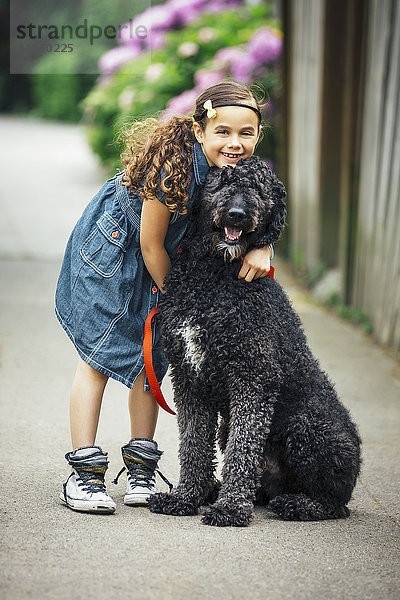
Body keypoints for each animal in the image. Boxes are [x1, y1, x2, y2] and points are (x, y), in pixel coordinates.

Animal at [148, 157, 360, 528]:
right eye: (222, 182)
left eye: (260, 191)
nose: (236, 214)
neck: (214, 277)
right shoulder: (188, 379)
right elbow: (193, 445)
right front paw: (185, 498)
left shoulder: (253, 378)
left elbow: (242, 450)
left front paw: (231, 509)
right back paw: (222, 491)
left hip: (307, 426)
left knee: (335, 503)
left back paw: (296, 505)